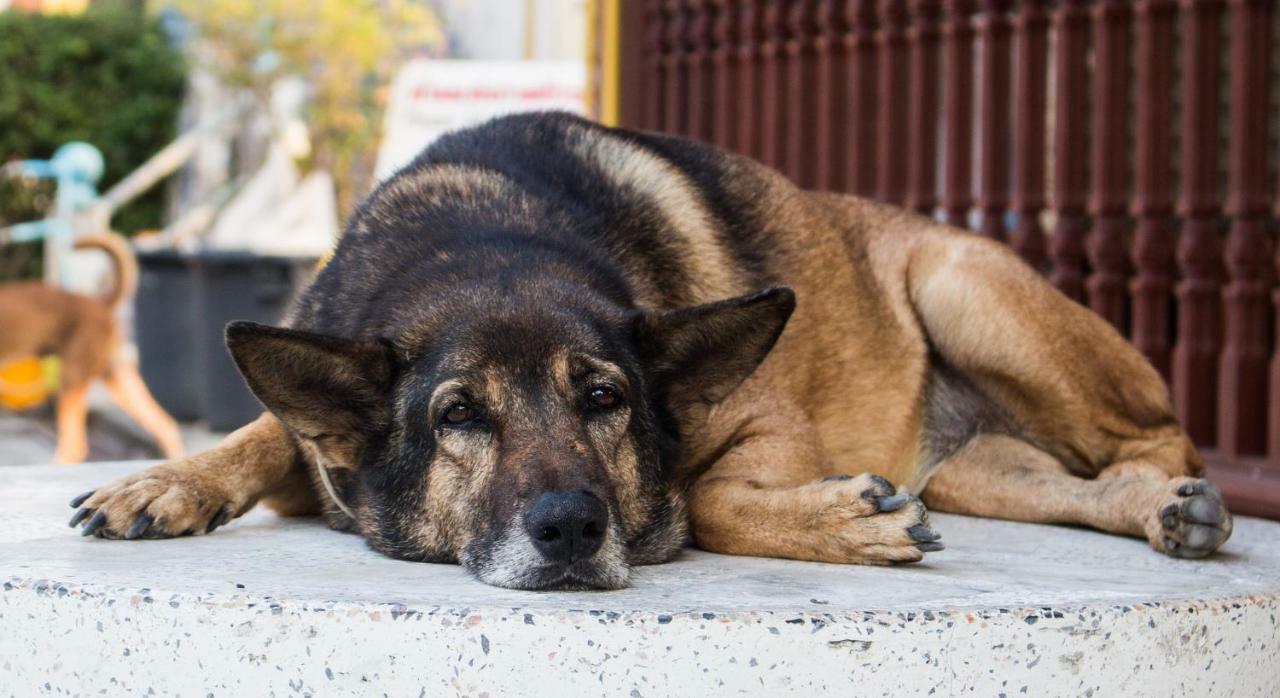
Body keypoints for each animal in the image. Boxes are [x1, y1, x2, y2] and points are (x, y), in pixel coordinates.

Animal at [67, 112, 1228, 589]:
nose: (571, 529)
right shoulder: (326, 429)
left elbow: (703, 494)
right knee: (1068, 481)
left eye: (605, 400)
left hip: (962, 287)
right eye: (457, 415)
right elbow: (268, 432)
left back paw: (1175, 499)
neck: (483, 234)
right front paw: (163, 481)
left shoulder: (766, 419)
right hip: (981, 465)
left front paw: (843, 521)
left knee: (1166, 434)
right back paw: (1153, 512)